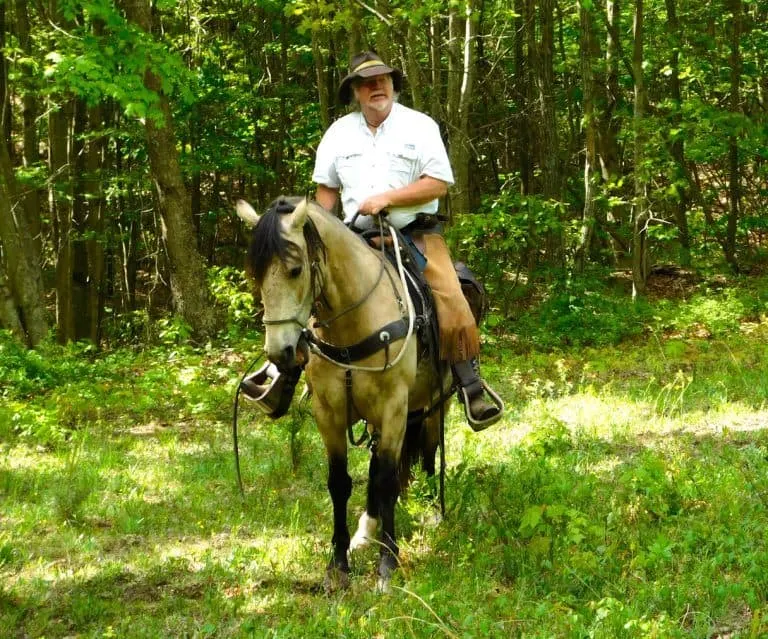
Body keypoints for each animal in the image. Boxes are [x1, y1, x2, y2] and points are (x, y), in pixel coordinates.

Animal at [238, 198, 456, 592]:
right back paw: (366, 532)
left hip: (435, 403)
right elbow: (341, 483)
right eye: (255, 275)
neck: (352, 325)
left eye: (295, 269)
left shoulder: (394, 408)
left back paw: (432, 511)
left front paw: (388, 563)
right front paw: (338, 565)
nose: (280, 353)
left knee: (430, 452)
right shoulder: (329, 412)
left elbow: (386, 478)